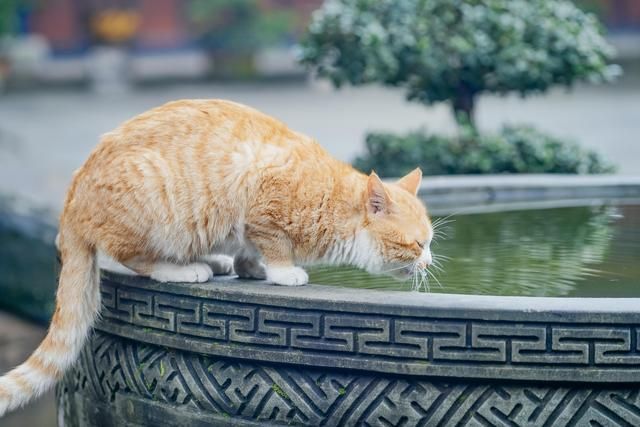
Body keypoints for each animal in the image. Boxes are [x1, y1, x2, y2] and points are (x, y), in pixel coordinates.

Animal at [0, 99, 432, 414]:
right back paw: (184, 269)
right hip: (154, 205)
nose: (429, 262)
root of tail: (71, 197)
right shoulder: (263, 202)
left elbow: (249, 251)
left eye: (429, 243)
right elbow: (275, 246)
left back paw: (215, 262)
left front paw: (250, 268)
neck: (332, 200)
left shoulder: (247, 226)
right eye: (418, 244)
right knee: (135, 259)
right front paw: (283, 272)